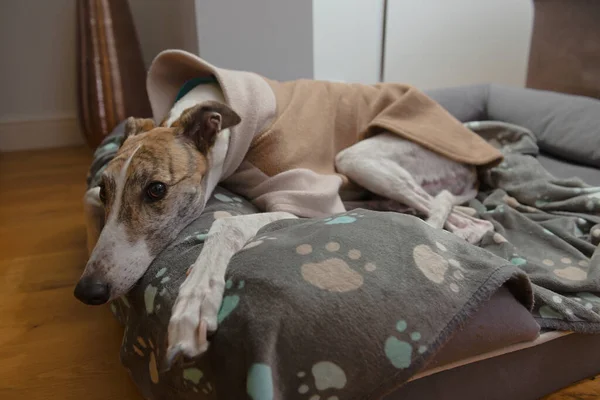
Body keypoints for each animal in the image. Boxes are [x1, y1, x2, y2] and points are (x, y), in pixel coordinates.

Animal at [72, 49, 500, 366]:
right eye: (107, 190)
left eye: (157, 190)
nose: (88, 290)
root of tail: (474, 168)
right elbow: (86, 195)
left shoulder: (303, 197)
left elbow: (226, 224)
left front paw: (193, 304)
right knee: (466, 218)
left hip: (360, 157)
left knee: (452, 211)